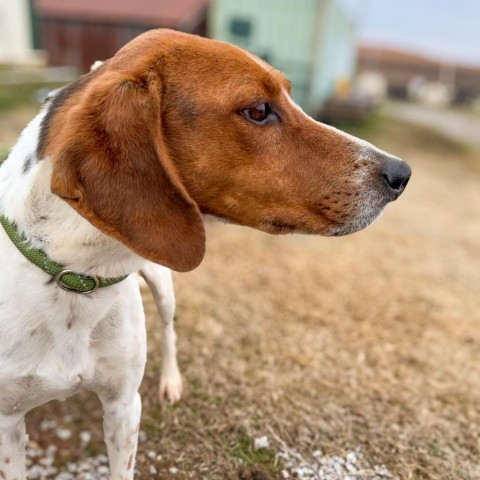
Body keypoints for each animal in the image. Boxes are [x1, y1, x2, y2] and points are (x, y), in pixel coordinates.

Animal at [0, 29, 408, 480]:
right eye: (258, 110)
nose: (401, 174)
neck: (75, 278)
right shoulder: (8, 424)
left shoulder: (124, 407)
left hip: (162, 287)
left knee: (170, 331)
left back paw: (171, 381)